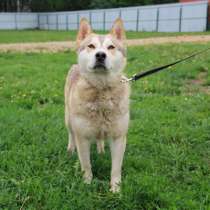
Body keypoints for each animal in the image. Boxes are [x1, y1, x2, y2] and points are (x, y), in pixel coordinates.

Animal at [64, 17, 130, 192]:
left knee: (100, 138)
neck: (101, 92)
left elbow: (116, 168)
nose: (100, 55)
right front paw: (87, 184)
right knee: (70, 134)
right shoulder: (82, 136)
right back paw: (70, 149)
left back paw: (101, 150)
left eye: (111, 47)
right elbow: (86, 165)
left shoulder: (119, 137)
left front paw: (115, 190)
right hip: (68, 118)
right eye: (91, 46)